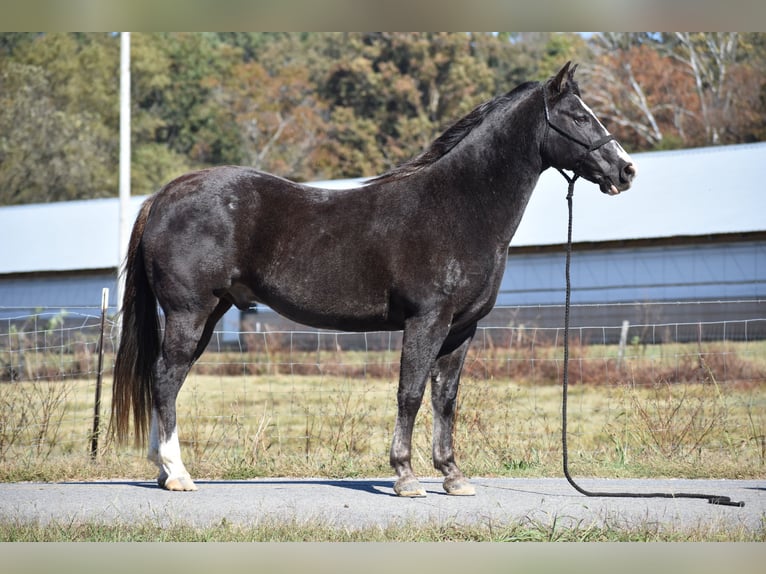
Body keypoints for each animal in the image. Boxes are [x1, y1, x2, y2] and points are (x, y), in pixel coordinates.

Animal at [111, 61, 636, 496]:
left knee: (168, 378)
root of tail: (165, 195)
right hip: (190, 311)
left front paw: (452, 476)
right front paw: (405, 477)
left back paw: (162, 470)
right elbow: (411, 393)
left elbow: (446, 399)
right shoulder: (426, 321)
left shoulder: (461, 329)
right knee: (166, 376)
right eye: (579, 116)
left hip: (207, 314)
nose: (626, 171)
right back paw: (177, 472)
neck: (458, 207)